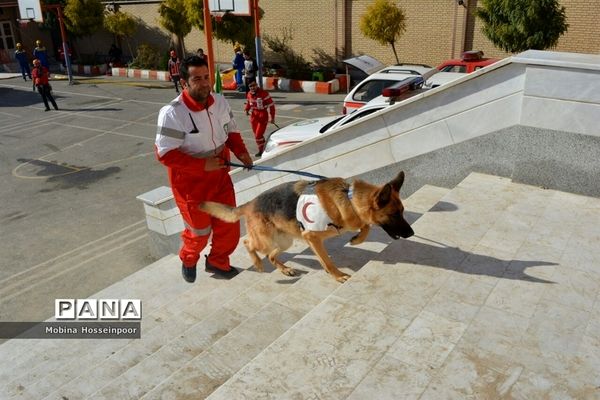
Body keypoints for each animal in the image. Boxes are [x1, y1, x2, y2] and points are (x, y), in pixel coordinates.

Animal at [199, 170, 414, 282]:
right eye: (394, 215)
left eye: (402, 211)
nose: (412, 233)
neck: (349, 198)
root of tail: (250, 203)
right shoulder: (312, 237)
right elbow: (327, 261)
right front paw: (338, 276)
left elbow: (366, 227)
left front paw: (357, 239)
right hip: (266, 239)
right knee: (248, 243)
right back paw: (258, 264)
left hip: (283, 241)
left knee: (271, 255)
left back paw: (285, 270)